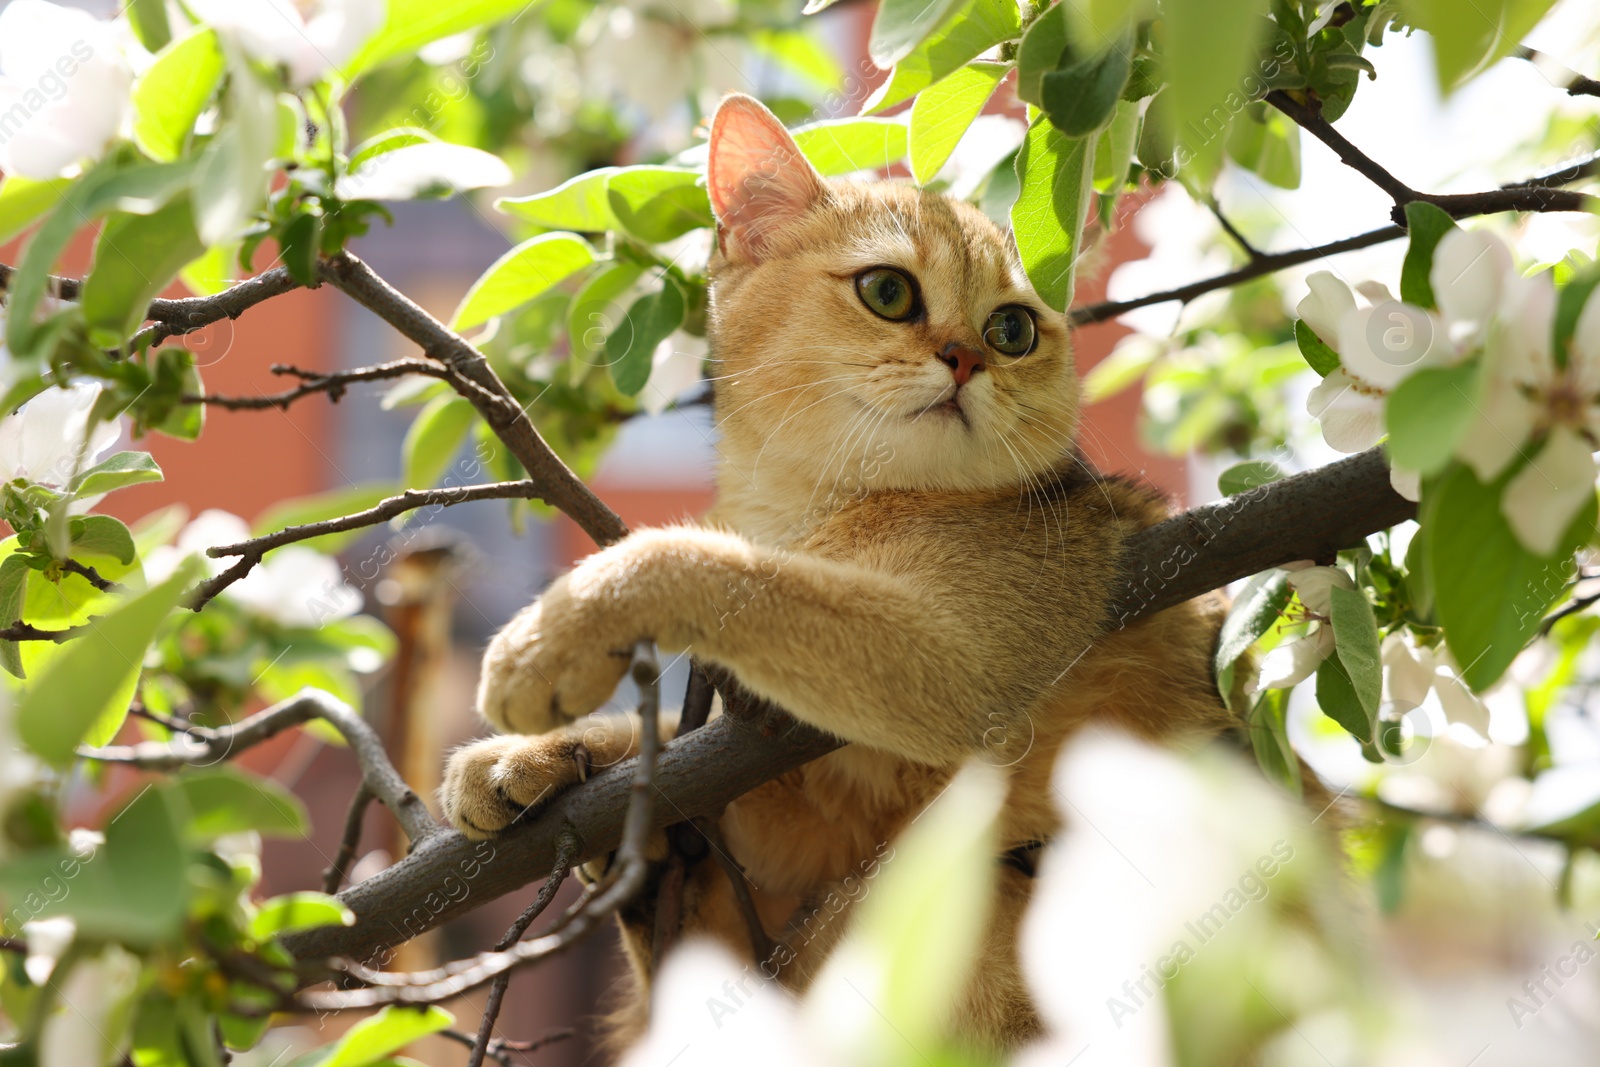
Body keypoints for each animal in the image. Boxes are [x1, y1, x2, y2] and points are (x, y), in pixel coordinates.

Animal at [441, 93, 1235, 1062]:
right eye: (887, 292)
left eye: (1012, 330)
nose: (967, 357)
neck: (816, 511)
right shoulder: (788, 835)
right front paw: (543, 759)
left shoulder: (957, 662)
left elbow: (712, 563)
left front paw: (550, 643)